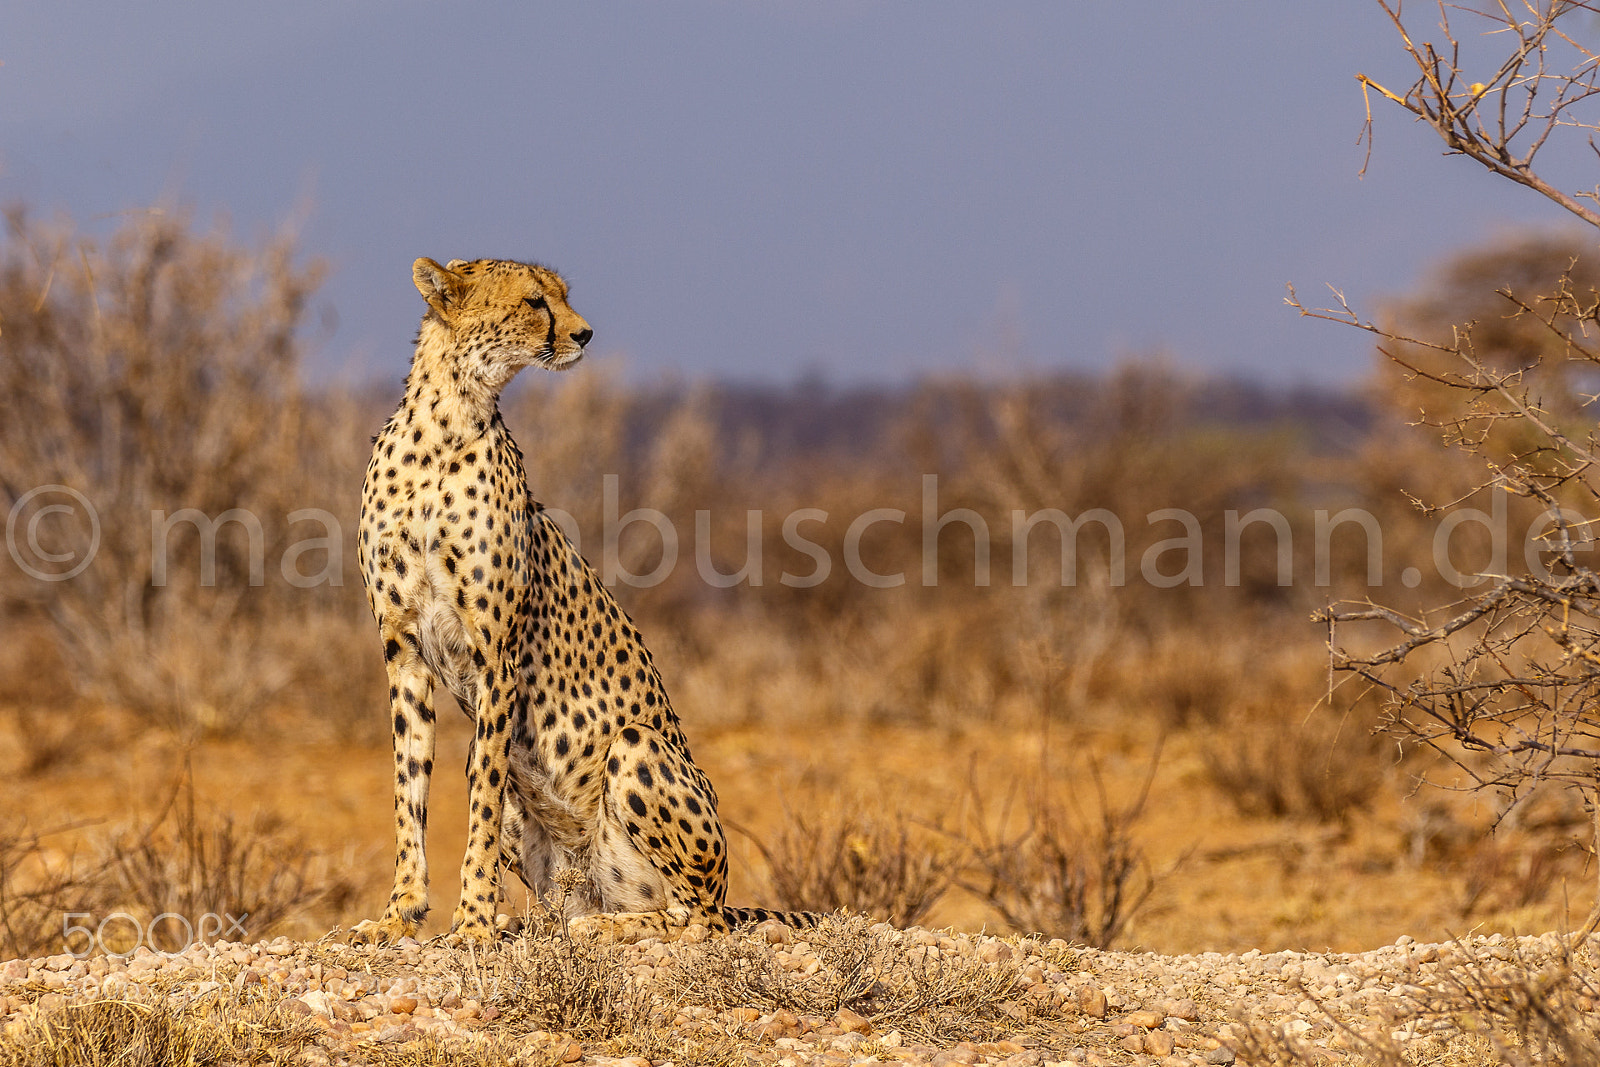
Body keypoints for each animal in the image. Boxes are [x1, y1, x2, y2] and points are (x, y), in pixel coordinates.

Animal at [351, 256, 812, 946]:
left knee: (695, 921)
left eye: (563, 295)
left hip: (638, 750)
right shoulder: (402, 647)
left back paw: (600, 929)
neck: (444, 426)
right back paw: (555, 922)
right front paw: (398, 912)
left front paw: (473, 922)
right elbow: (410, 789)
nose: (585, 334)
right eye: (534, 301)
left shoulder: (497, 657)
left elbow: (480, 802)